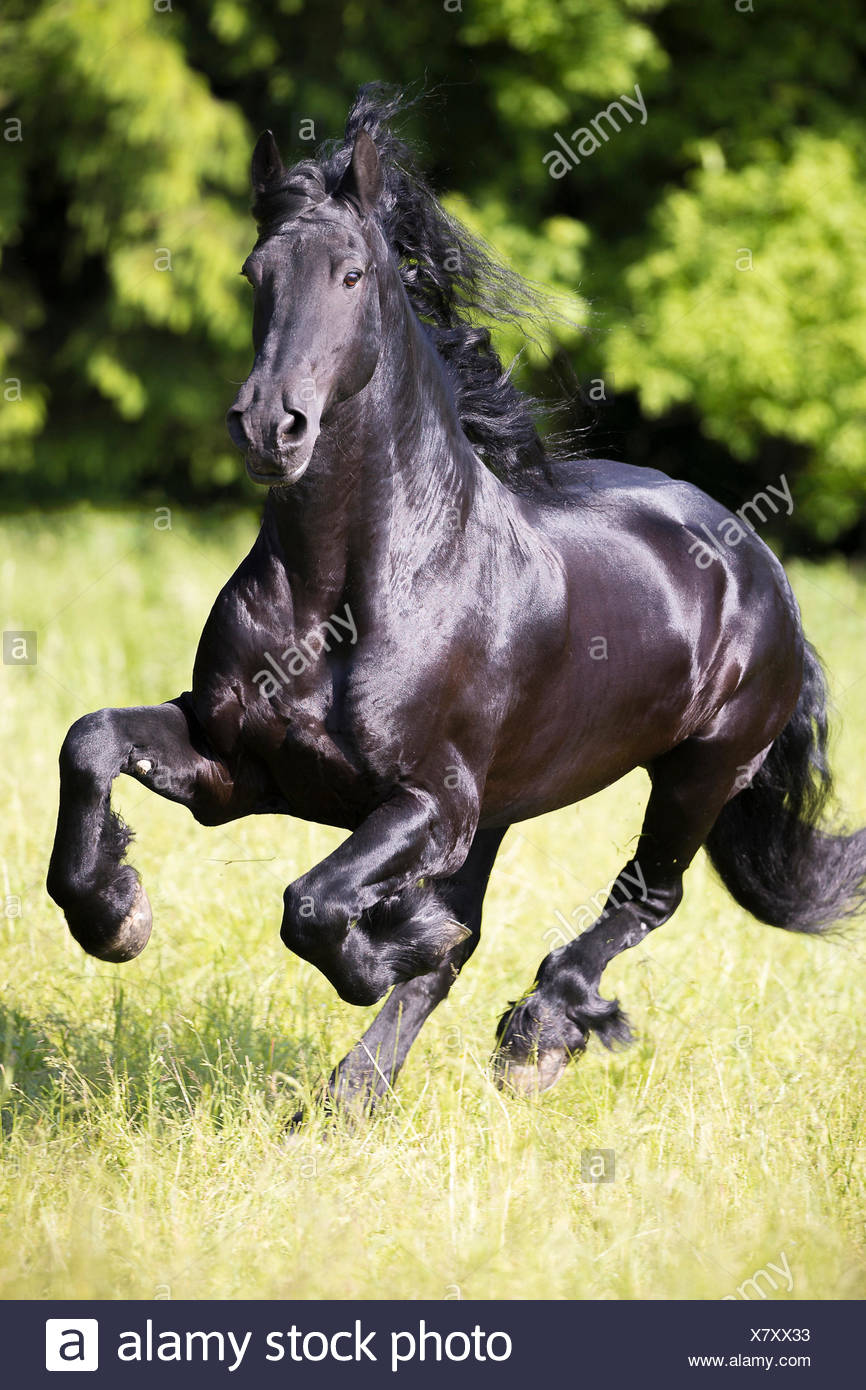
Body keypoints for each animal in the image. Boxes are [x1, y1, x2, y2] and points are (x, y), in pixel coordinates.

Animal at [47, 87, 866, 1114]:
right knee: (475, 936)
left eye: (352, 273)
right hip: (513, 807)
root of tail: (755, 554)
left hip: (699, 770)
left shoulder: (429, 803)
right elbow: (92, 741)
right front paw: (116, 915)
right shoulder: (239, 769)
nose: (271, 425)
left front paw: (391, 943)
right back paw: (350, 1100)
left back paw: (533, 1038)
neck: (341, 599)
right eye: (253, 271)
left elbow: (314, 907)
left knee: (646, 895)